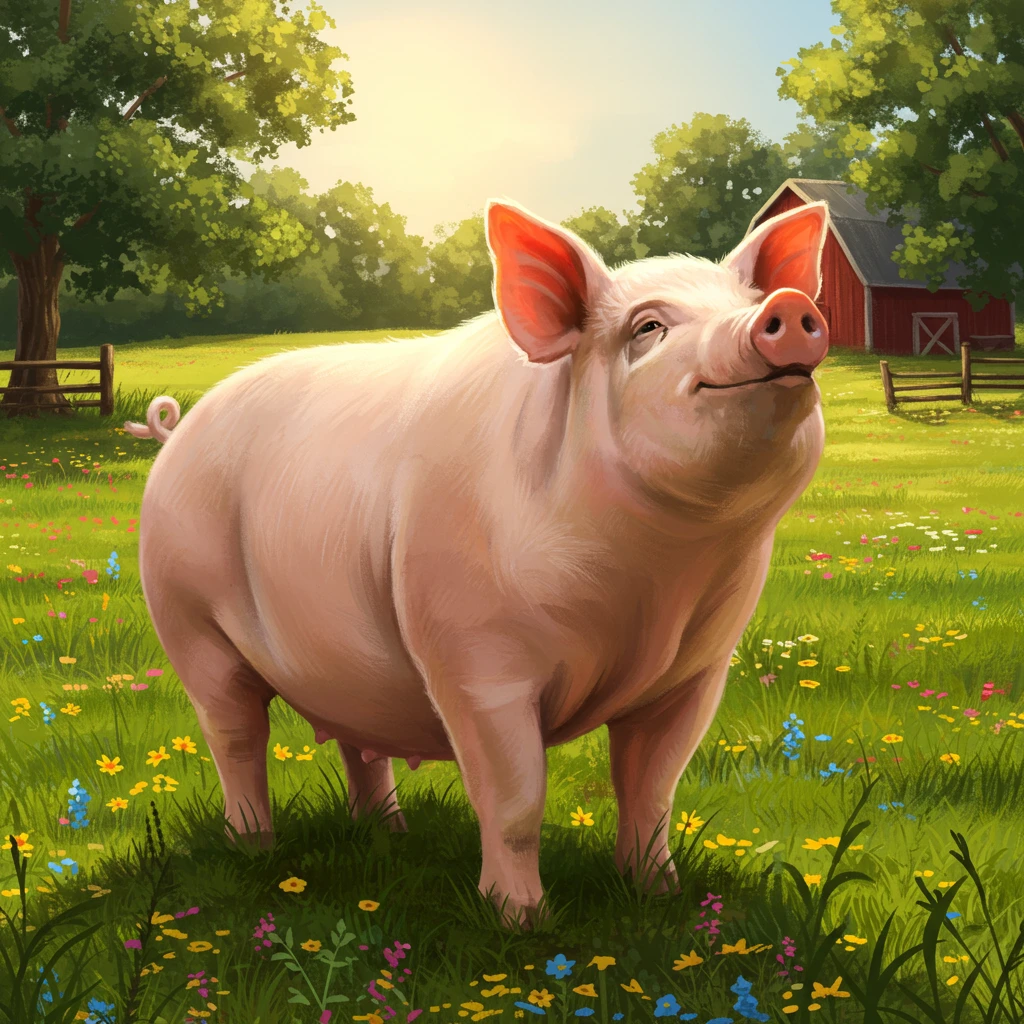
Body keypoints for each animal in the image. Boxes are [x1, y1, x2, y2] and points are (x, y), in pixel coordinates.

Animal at [125, 198, 829, 928]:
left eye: (743, 300)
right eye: (649, 327)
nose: (786, 307)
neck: (654, 579)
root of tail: (176, 432)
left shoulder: (695, 672)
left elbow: (652, 790)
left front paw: (659, 898)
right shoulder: (475, 660)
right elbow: (516, 799)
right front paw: (522, 924)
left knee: (357, 743)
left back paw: (388, 835)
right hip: (188, 618)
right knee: (235, 735)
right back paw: (254, 849)